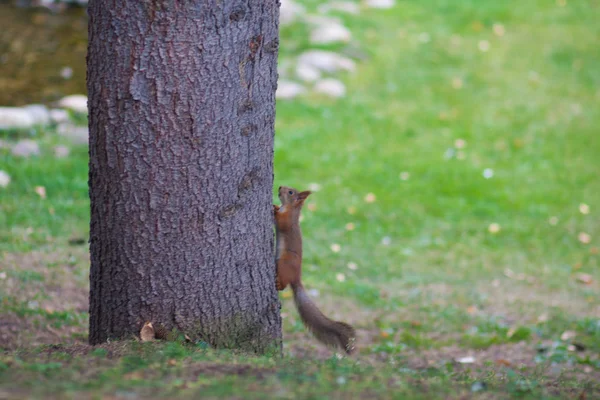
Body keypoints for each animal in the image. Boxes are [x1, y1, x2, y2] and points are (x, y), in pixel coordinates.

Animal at [274, 185, 356, 354]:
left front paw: (273, 208)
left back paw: (278, 284)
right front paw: (276, 206)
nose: (279, 187)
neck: (290, 208)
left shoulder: (287, 220)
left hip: (284, 264)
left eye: (290, 192)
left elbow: (281, 221)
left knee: (284, 283)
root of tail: (296, 277)